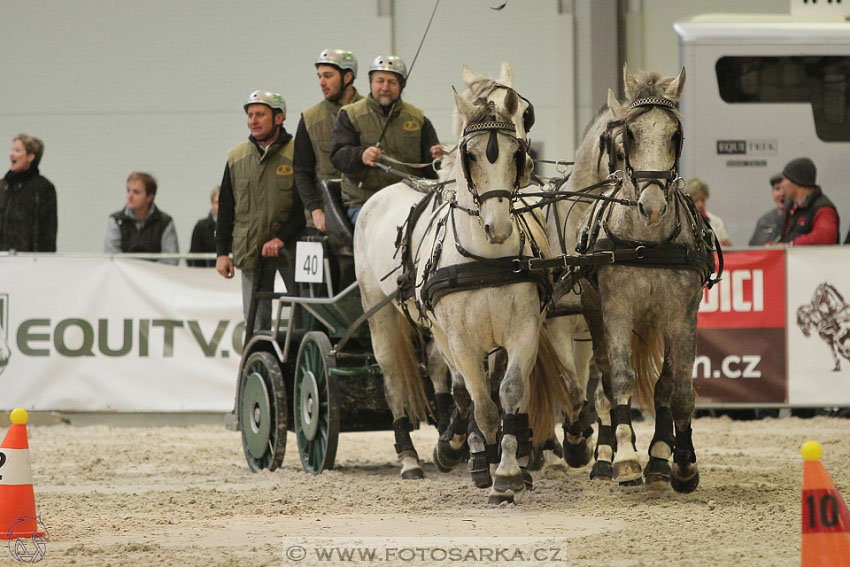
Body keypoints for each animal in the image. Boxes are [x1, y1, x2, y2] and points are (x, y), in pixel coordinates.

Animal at [354, 86, 568, 504]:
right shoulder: (461, 339)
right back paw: (414, 458)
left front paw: (510, 467)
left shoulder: (524, 330)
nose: (497, 227)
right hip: (383, 314)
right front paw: (487, 466)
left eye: (516, 153)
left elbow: (509, 392)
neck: (485, 257)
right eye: (470, 156)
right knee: (400, 380)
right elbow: (481, 405)